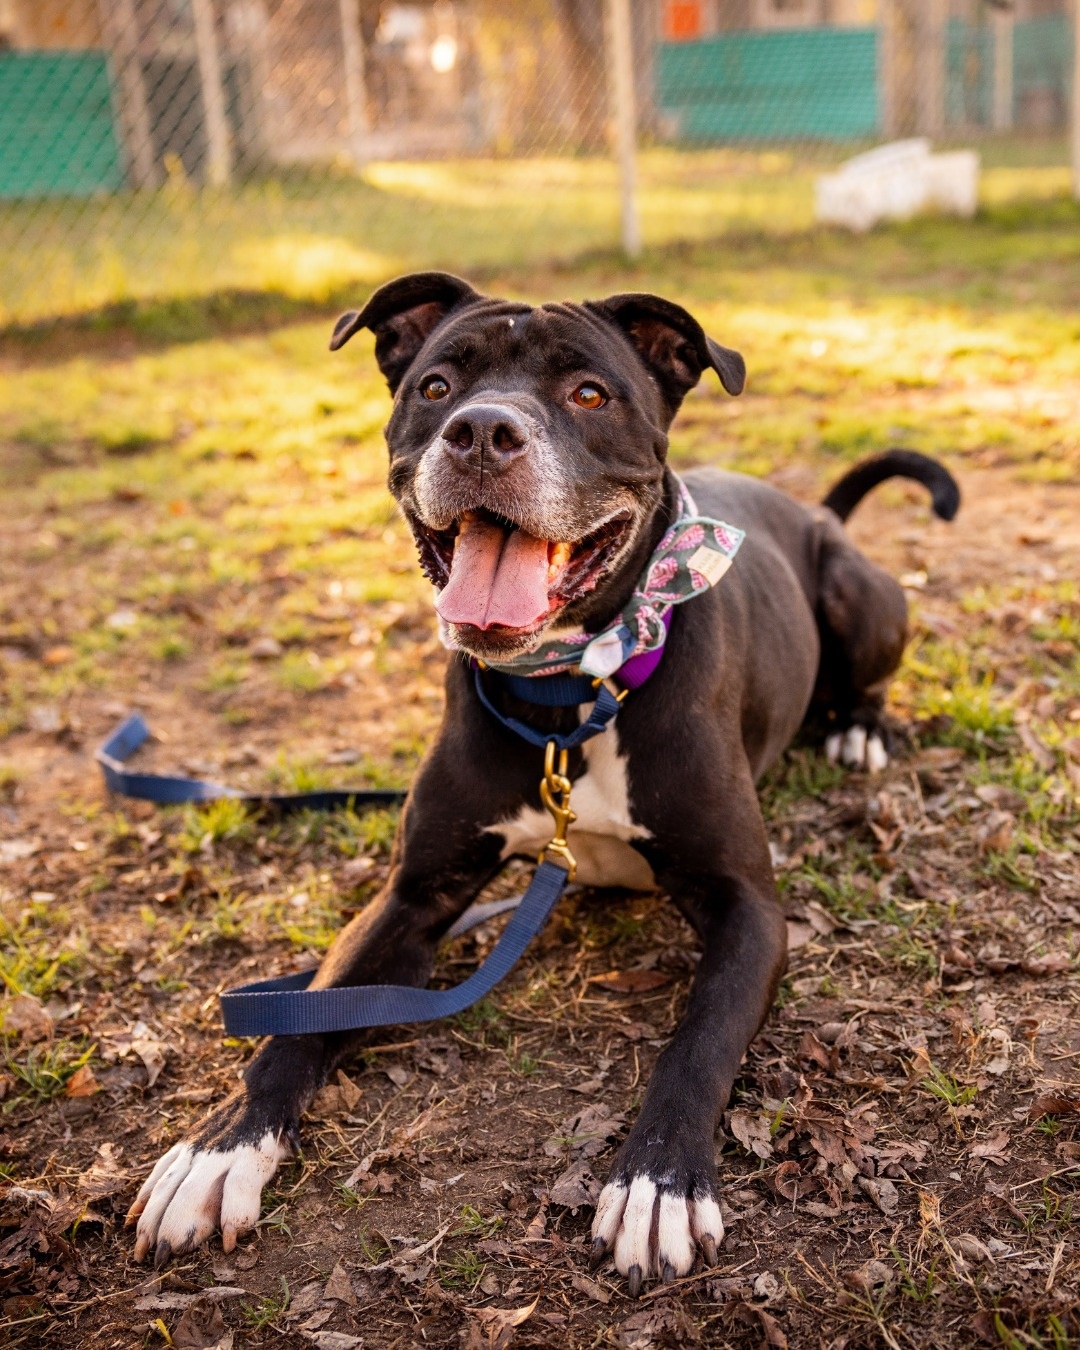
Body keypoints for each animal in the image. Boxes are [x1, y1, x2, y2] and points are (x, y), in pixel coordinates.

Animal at [130, 274, 955, 1296]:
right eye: (437, 385)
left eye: (590, 394)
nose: (483, 431)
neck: (568, 698)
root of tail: (818, 513)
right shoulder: (414, 894)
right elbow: (308, 1016)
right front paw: (220, 1150)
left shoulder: (751, 909)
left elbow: (699, 1042)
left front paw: (657, 1184)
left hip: (856, 595)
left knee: (867, 673)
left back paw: (858, 729)